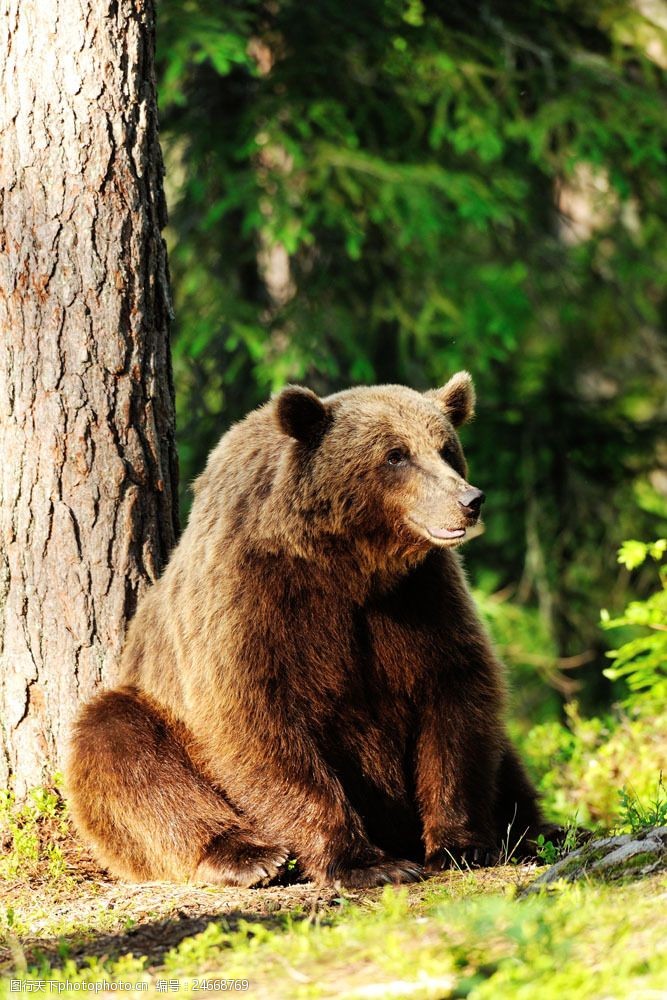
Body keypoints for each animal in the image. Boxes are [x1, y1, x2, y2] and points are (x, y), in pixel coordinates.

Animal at [68, 376, 544, 892]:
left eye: (447, 449)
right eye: (396, 455)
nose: (469, 500)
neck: (348, 563)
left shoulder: (418, 600)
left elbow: (455, 693)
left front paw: (461, 845)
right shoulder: (253, 601)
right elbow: (257, 722)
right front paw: (367, 862)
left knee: (508, 763)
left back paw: (537, 831)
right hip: (151, 709)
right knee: (121, 746)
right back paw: (249, 856)